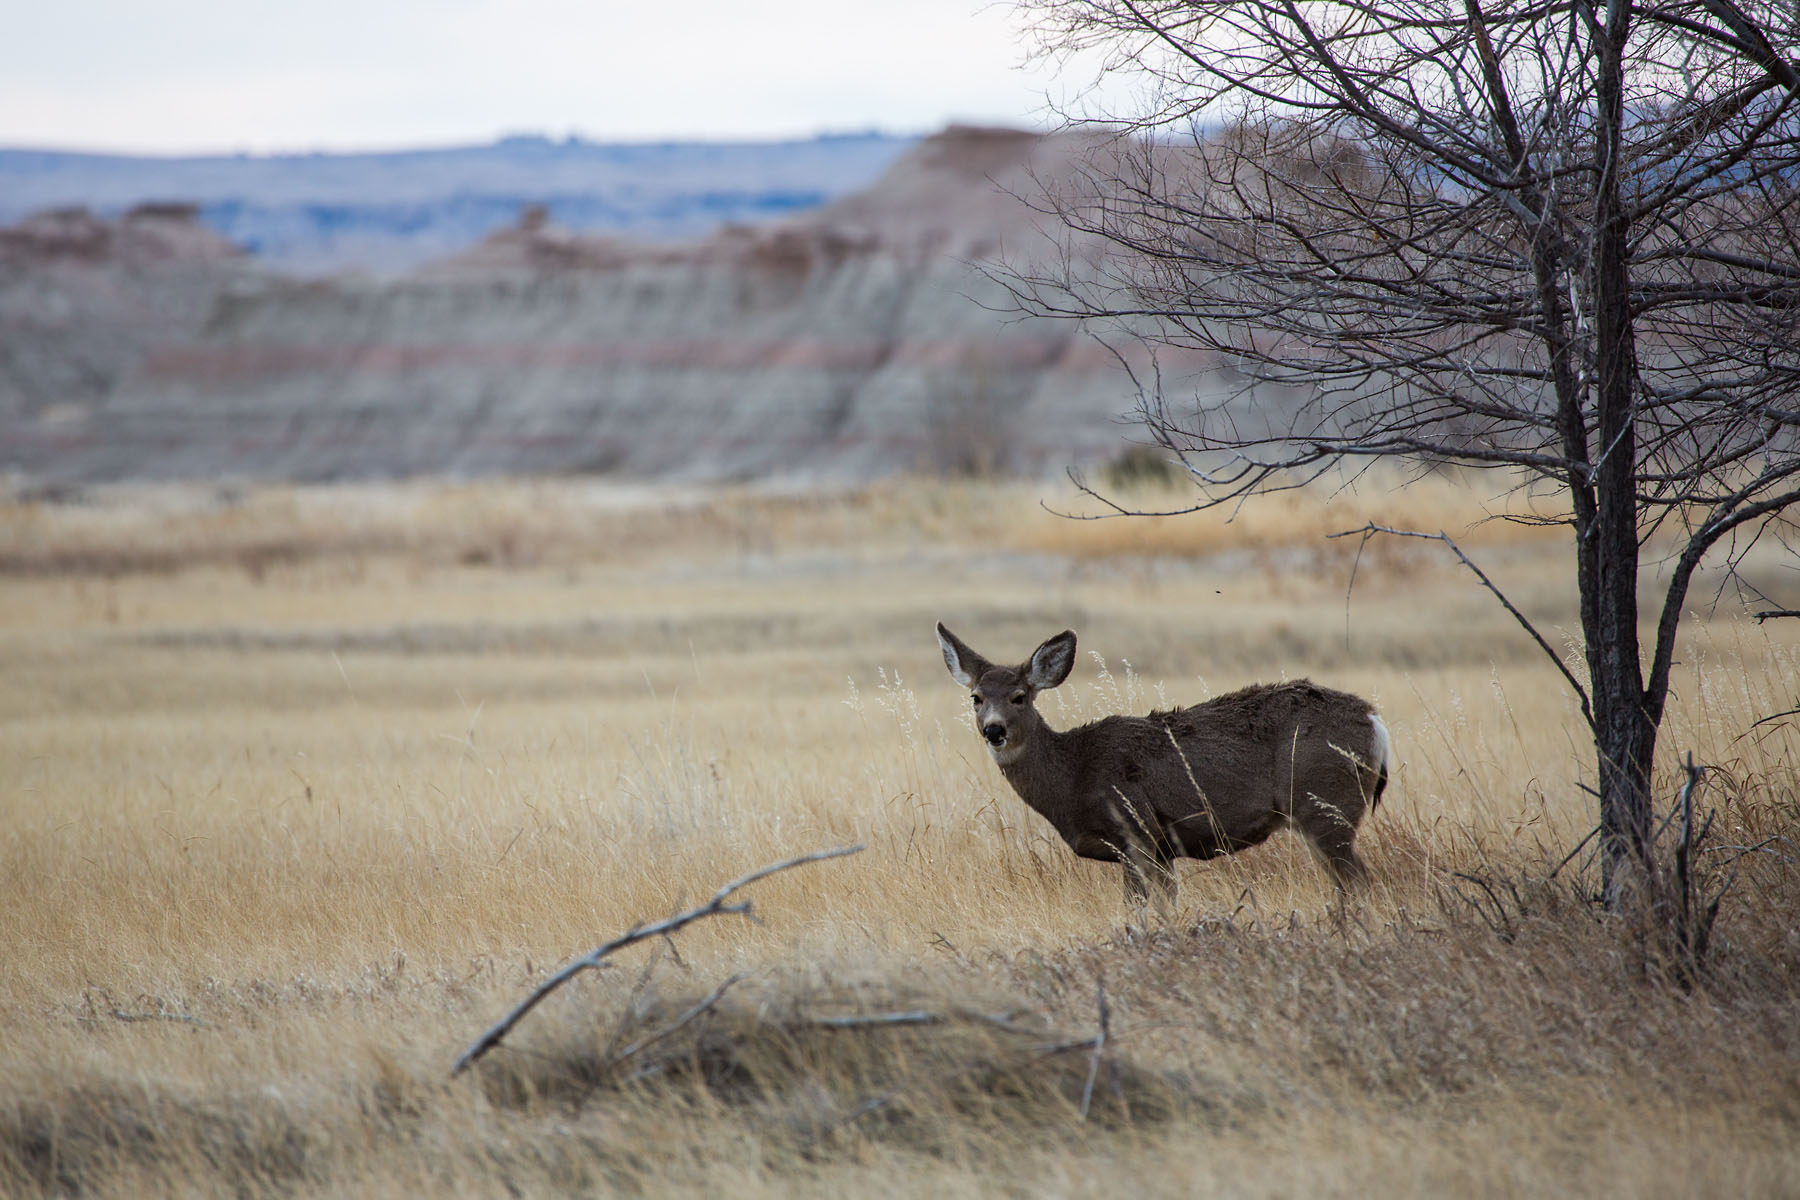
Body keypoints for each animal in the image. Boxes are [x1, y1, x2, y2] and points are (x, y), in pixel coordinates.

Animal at [935, 623, 1392, 909]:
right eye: (976, 697)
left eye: (1019, 697)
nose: (994, 730)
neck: (1075, 775)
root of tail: (1376, 722)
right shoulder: (1162, 849)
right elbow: (1168, 905)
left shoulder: (1134, 829)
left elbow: (1137, 914)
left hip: (1325, 803)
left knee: (1360, 883)